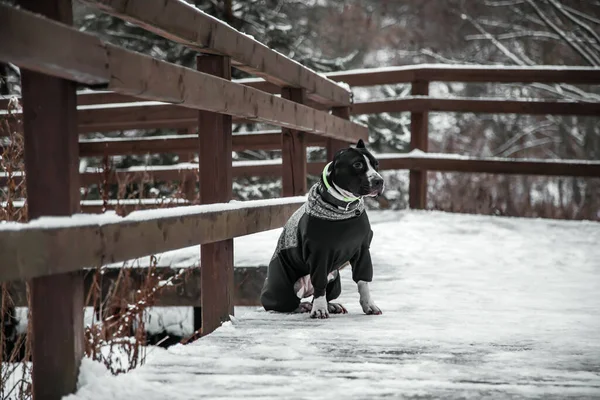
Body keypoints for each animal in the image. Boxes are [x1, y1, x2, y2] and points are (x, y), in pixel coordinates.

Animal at [258, 140, 382, 318]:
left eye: (376, 164)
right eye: (357, 164)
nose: (379, 181)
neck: (343, 208)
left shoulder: (363, 250)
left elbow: (363, 280)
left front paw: (369, 305)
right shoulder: (319, 255)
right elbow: (320, 283)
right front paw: (319, 309)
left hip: (335, 278)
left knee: (322, 294)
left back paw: (331, 305)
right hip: (281, 286)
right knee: (285, 304)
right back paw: (304, 306)